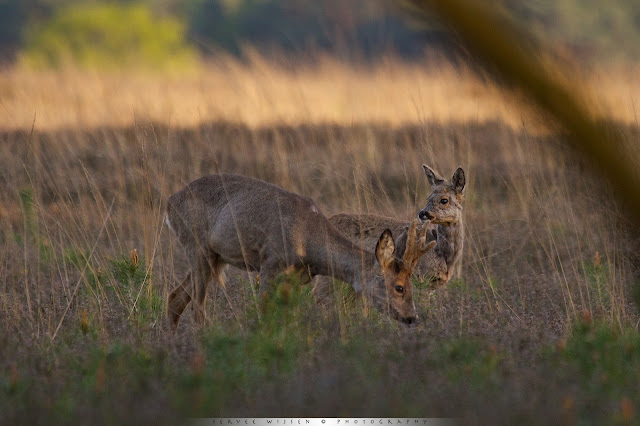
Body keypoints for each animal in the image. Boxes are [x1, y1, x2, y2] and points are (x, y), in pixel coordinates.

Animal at [165, 173, 436, 326]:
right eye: (399, 287)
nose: (412, 318)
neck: (308, 241)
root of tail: (170, 203)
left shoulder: (297, 278)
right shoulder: (270, 264)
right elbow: (265, 313)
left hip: (214, 257)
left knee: (175, 298)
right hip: (196, 246)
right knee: (197, 309)